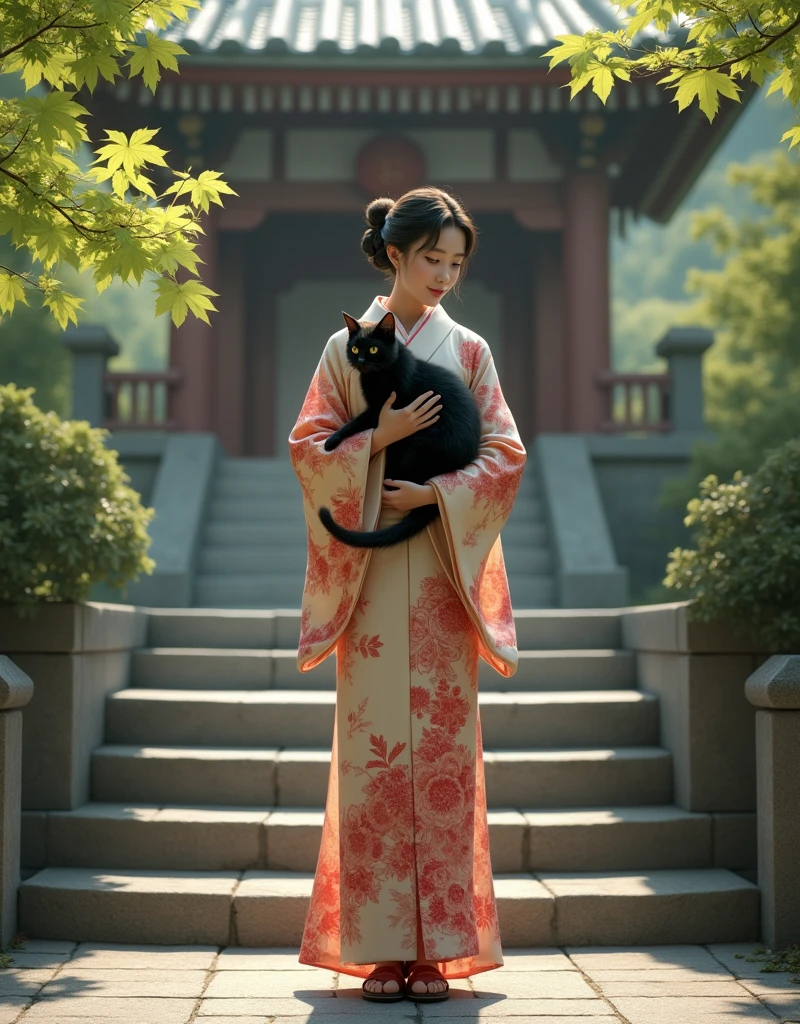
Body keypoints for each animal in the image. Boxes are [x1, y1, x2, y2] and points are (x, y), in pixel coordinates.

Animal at [317, 307, 481, 548]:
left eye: (374, 349)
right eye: (355, 348)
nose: (361, 360)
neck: (375, 376)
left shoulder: (379, 410)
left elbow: (355, 422)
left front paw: (332, 440)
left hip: (419, 448)